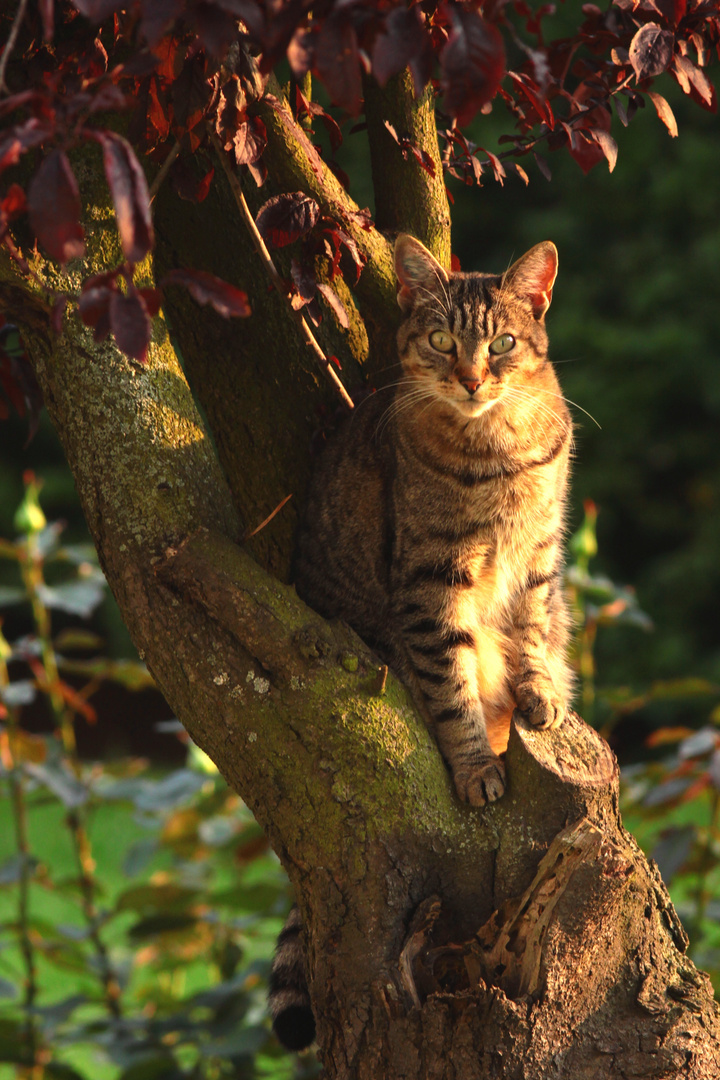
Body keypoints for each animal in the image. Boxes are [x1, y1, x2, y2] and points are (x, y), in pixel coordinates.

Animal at [268, 234, 574, 1045]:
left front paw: (539, 693)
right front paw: (475, 769)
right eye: (442, 340)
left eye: (502, 343)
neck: (497, 445)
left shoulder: (538, 558)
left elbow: (533, 633)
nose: (470, 378)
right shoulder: (431, 586)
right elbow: (451, 685)